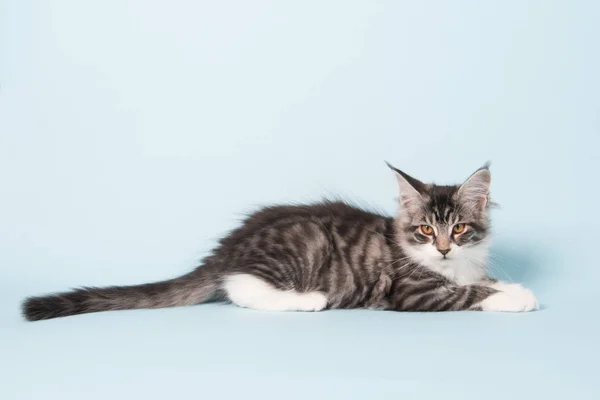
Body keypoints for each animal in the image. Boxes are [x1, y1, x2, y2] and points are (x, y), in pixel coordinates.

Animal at [22, 162, 540, 322]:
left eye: (459, 229)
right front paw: (516, 297)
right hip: (301, 246)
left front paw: (510, 286)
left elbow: (479, 281)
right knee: (238, 287)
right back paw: (308, 299)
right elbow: (467, 294)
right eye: (426, 231)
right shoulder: (413, 291)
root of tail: (230, 245)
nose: (443, 249)